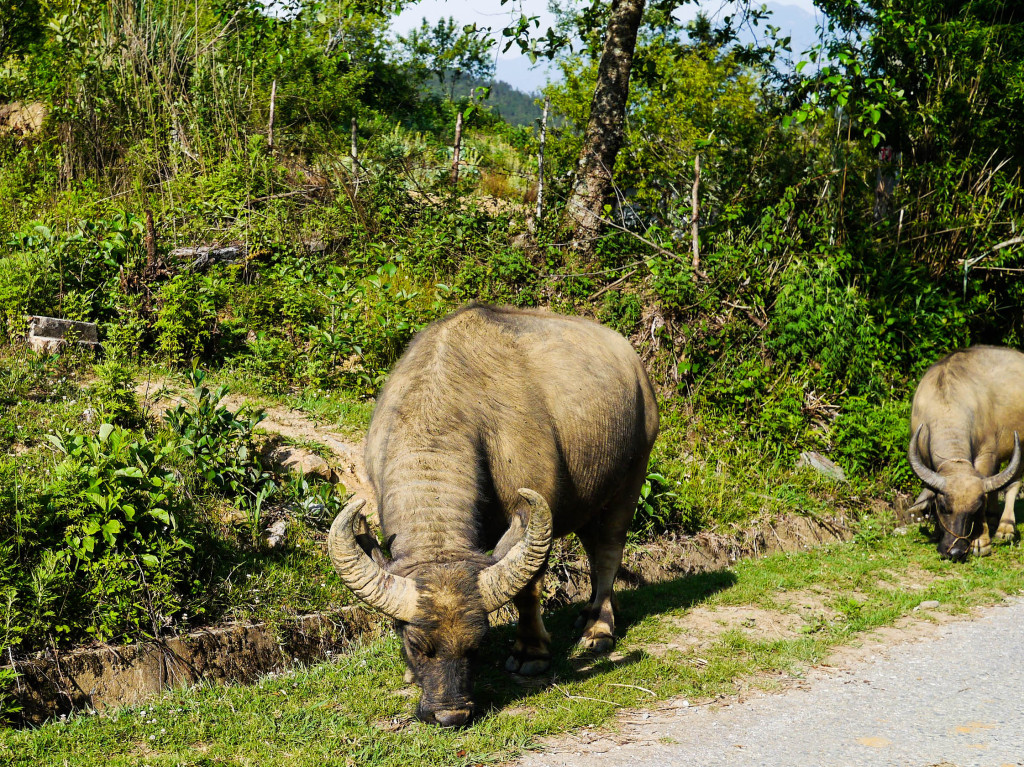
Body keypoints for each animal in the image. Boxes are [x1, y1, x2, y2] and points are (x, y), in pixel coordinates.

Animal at [331, 303, 659, 725]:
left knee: (607, 554)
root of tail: (636, 367)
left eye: (478, 644)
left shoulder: (533, 510)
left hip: (631, 479)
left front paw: (530, 654)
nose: (451, 714)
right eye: (416, 644)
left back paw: (598, 629)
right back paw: (593, 613)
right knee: (592, 546)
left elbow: (529, 588)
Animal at [909, 346, 1019, 557]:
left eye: (975, 510)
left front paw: (981, 542)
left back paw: (1005, 527)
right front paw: (937, 532)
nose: (956, 551)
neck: (946, 404)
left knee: (1014, 482)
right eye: (943, 506)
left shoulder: (986, 455)